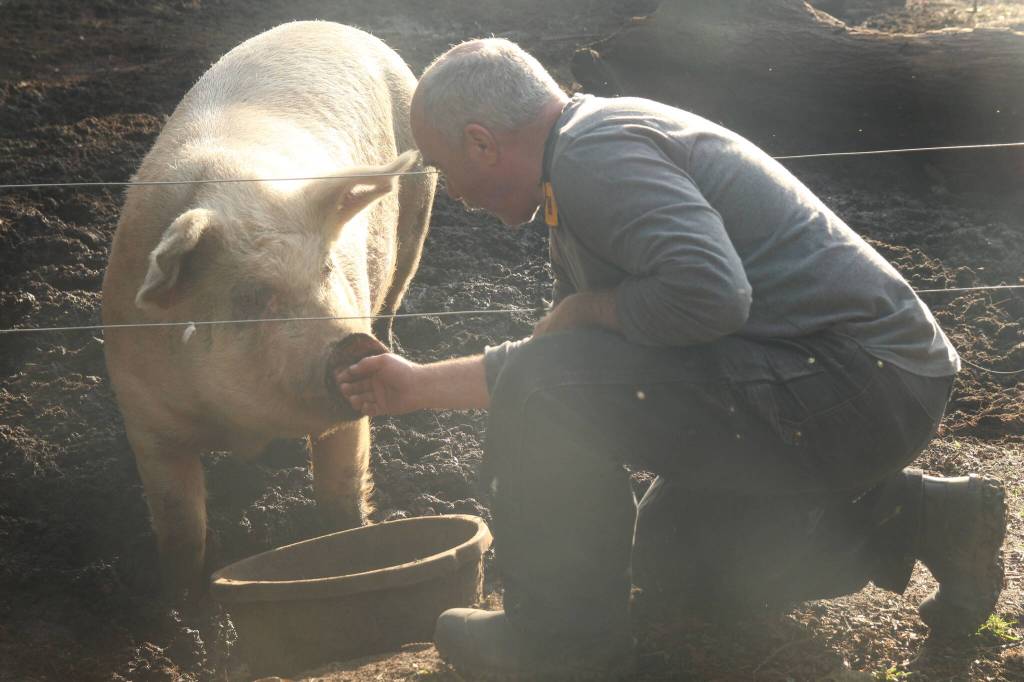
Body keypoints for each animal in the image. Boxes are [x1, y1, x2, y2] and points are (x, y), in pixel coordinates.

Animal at [101, 21, 435, 597]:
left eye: (327, 269)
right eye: (253, 297)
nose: (353, 344)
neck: (241, 424)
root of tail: (344, 27)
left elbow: (341, 498)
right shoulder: (144, 415)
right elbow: (181, 528)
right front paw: (178, 606)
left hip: (418, 215)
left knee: (396, 291)